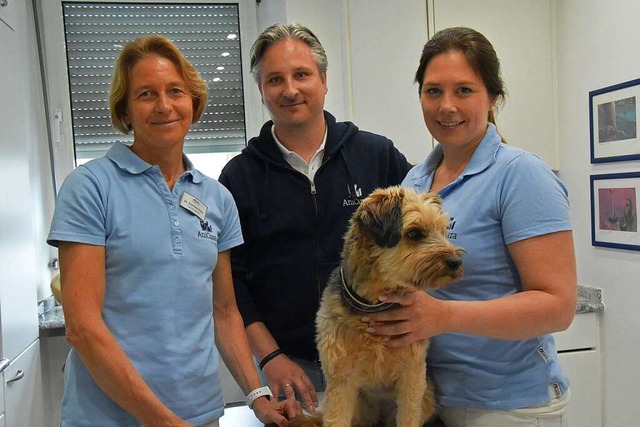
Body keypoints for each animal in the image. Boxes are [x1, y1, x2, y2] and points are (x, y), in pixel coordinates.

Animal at [288, 187, 460, 427]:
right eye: (414, 234)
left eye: (443, 230)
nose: (456, 263)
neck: (374, 305)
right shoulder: (341, 380)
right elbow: (336, 418)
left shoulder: (412, 376)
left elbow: (408, 416)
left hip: (425, 396)